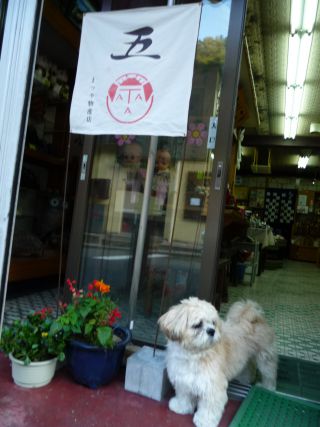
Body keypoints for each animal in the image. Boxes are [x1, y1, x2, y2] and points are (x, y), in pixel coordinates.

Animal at [158, 298, 278, 427]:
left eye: (213, 323)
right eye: (197, 325)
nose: (212, 331)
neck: (194, 355)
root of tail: (253, 318)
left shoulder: (212, 387)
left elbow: (209, 407)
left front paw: (205, 420)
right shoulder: (183, 381)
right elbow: (184, 397)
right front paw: (181, 407)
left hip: (265, 357)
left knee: (269, 373)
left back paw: (268, 387)